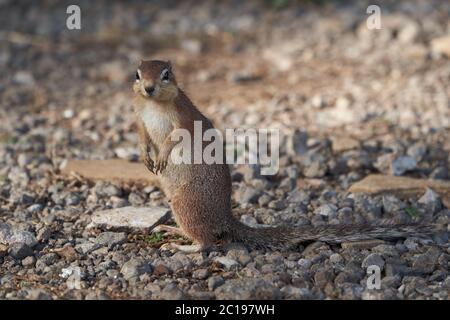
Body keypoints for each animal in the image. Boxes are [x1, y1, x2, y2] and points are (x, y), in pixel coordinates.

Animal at [133, 58, 432, 251]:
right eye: (137, 74)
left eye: (166, 74)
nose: (148, 87)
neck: (154, 105)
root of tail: (226, 217)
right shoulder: (141, 119)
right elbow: (142, 135)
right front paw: (145, 155)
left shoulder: (183, 119)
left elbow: (175, 137)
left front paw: (162, 155)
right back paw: (171, 230)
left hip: (185, 203)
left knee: (207, 243)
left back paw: (181, 246)